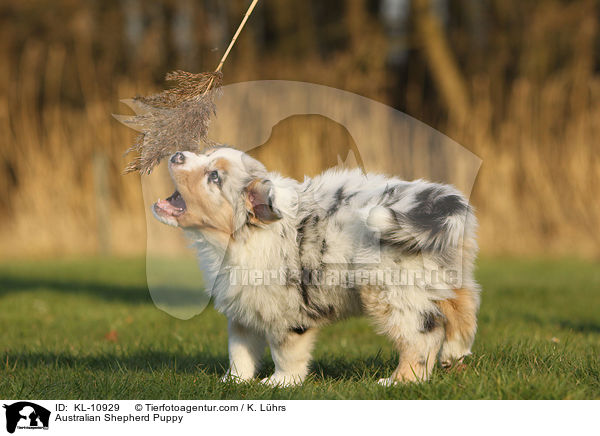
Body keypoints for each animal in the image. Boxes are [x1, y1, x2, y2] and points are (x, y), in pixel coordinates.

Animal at [152, 148, 480, 386]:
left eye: (214, 177)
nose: (176, 154)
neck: (241, 237)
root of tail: (437, 204)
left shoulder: (286, 313)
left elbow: (286, 353)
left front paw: (279, 384)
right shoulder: (244, 308)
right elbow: (240, 351)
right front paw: (233, 382)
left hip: (392, 290)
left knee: (422, 335)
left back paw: (399, 381)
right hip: (443, 275)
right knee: (462, 306)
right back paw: (454, 353)